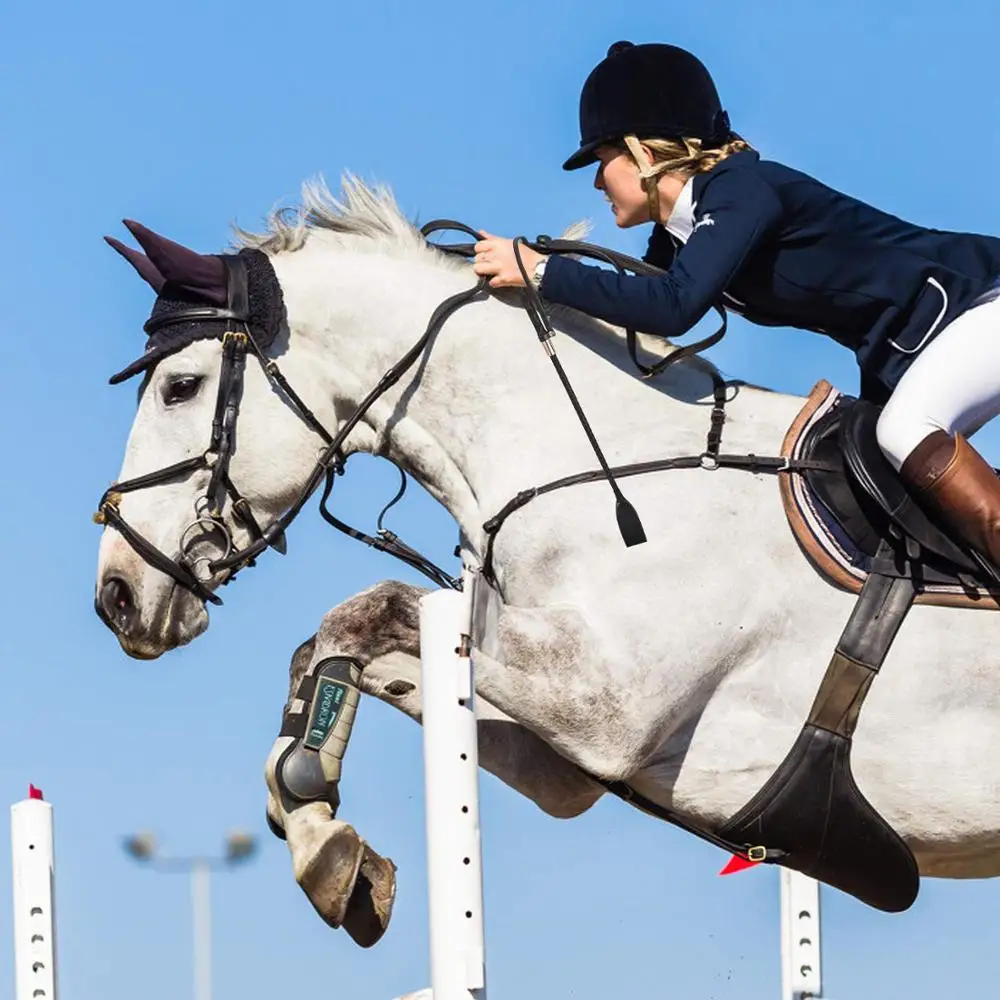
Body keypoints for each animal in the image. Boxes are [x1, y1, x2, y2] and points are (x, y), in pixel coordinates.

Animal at [95, 178, 1000, 936]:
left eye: (179, 387)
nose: (116, 596)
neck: (607, 469)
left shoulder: (601, 710)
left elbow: (375, 607)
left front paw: (320, 833)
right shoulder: (567, 760)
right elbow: (334, 646)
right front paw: (321, 835)